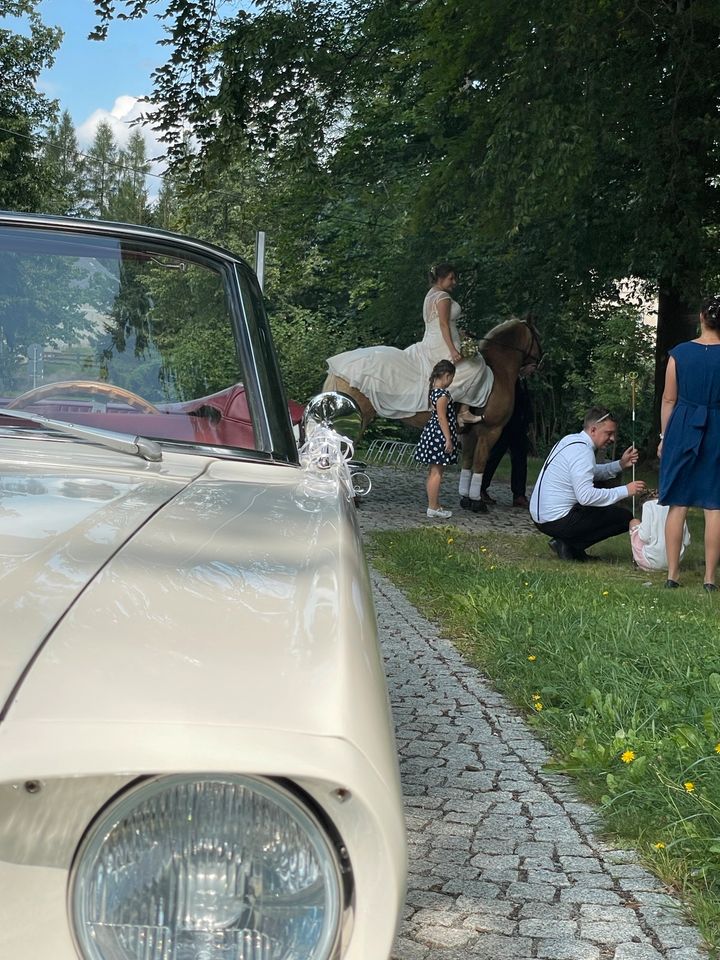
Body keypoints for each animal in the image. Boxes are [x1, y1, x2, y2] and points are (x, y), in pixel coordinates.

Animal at [324, 316, 544, 510]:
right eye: (537, 335)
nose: (540, 362)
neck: (498, 372)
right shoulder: (490, 431)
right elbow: (480, 465)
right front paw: (477, 502)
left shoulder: (470, 435)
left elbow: (468, 464)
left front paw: (466, 499)